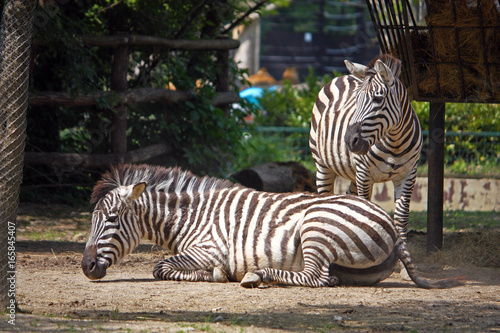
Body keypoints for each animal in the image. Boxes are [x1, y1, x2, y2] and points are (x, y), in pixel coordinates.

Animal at [81, 163, 460, 288]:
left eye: (111, 220)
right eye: (92, 220)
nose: (85, 267)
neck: (192, 216)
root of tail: (392, 228)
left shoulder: (210, 248)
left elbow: (161, 266)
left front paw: (214, 275)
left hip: (316, 228)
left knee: (316, 278)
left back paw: (257, 275)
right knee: (330, 278)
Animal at [308, 53, 422, 243]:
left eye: (378, 99)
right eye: (356, 101)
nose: (349, 141)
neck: (395, 144)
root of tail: (343, 76)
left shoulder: (408, 174)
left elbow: (401, 218)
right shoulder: (364, 173)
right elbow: (367, 213)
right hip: (323, 165)